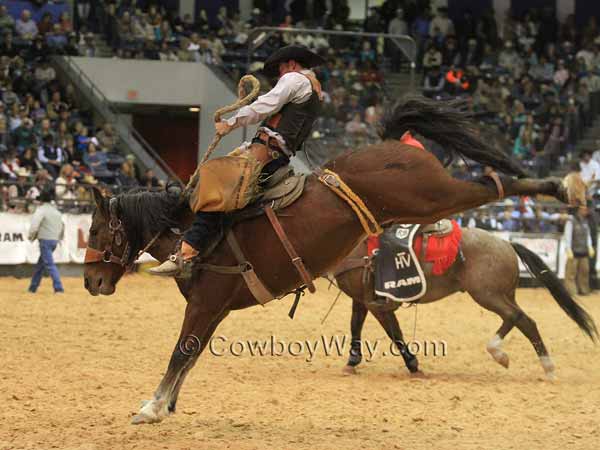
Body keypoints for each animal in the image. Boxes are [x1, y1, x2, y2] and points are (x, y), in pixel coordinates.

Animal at [336, 229, 596, 380]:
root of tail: (506, 243)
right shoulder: (361, 299)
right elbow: (356, 326)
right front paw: (351, 362)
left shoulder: (375, 303)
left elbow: (394, 333)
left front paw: (413, 365)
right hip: (504, 294)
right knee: (525, 321)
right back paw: (545, 367)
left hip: (487, 294)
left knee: (516, 317)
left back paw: (501, 353)